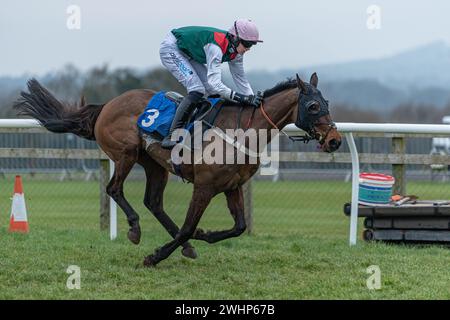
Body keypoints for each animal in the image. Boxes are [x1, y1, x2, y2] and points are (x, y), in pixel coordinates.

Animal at [15, 72, 342, 268]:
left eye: (326, 102)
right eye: (312, 106)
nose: (335, 140)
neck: (241, 131)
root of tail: (106, 105)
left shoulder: (232, 186)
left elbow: (238, 227)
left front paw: (202, 235)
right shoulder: (205, 187)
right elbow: (188, 226)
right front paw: (155, 255)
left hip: (155, 165)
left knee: (154, 202)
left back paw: (185, 246)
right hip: (125, 153)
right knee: (114, 189)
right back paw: (135, 229)